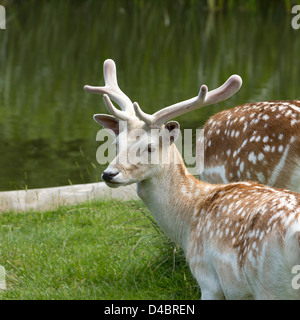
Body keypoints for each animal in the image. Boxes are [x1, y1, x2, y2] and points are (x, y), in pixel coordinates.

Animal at [84, 59, 300, 300]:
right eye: (116, 143)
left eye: (149, 147)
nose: (109, 174)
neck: (189, 221)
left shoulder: (207, 280)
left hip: (270, 283)